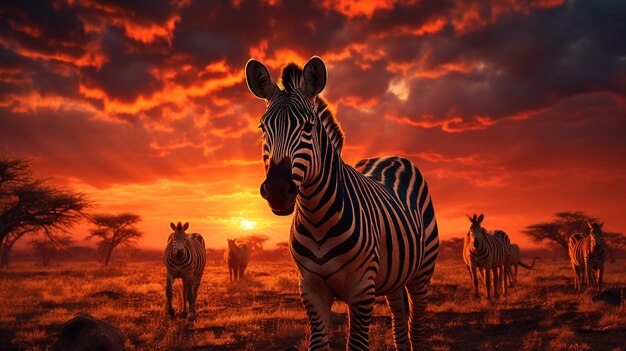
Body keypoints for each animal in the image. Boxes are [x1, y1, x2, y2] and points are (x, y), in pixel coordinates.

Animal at [245, 56, 438, 350]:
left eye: (308, 127)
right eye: (263, 128)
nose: (278, 190)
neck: (317, 217)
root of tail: (392, 157)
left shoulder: (361, 289)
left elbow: (357, 344)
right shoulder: (311, 290)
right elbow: (318, 344)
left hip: (422, 272)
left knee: (417, 330)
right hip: (394, 278)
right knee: (399, 326)